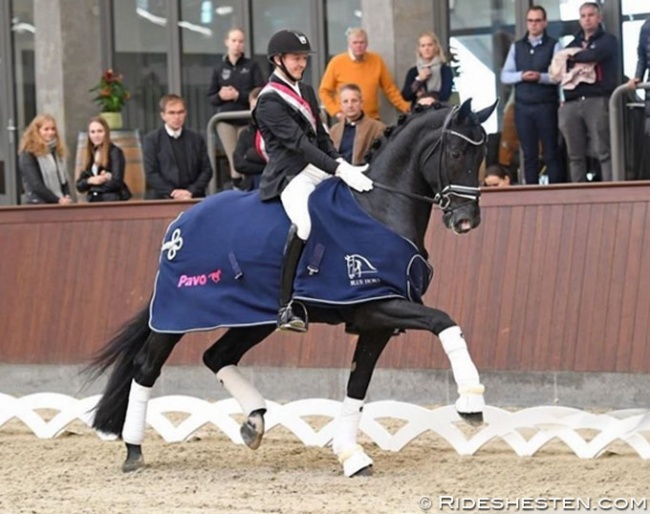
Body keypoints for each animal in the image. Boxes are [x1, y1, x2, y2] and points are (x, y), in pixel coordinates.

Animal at [85, 99, 492, 476]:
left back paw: (254, 422)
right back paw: (134, 452)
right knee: (146, 366)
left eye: (482, 155)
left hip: (254, 320)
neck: (378, 208)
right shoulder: (376, 304)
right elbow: (444, 322)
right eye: (456, 153)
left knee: (216, 356)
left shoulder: (376, 321)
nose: (466, 221)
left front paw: (351, 456)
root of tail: (178, 227)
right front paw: (471, 403)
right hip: (176, 316)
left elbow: (357, 386)